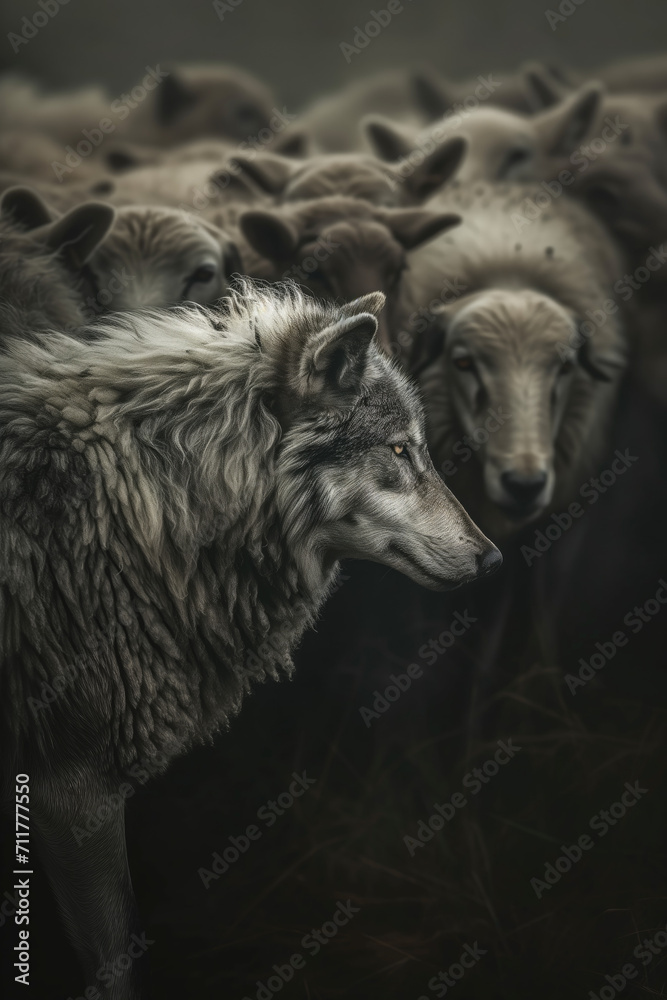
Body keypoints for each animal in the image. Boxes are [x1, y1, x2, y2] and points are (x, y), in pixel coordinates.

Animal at [0, 281, 500, 998]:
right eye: (400, 450)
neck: (153, 500)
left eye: (420, 448)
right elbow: (120, 962)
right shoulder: (72, 791)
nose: (493, 559)